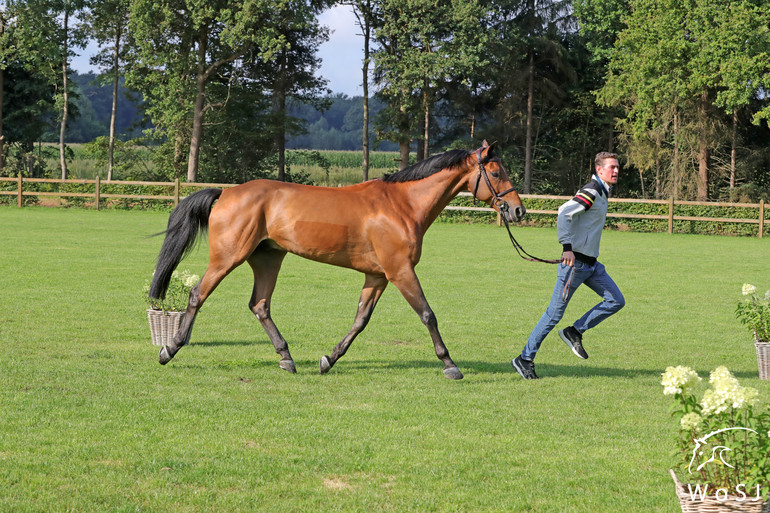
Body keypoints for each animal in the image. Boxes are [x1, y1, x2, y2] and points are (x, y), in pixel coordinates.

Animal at [147, 139, 524, 376]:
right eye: (497, 172)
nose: (517, 210)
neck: (401, 205)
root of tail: (226, 192)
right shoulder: (400, 271)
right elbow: (427, 314)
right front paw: (450, 365)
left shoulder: (377, 276)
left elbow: (360, 320)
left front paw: (328, 359)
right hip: (228, 258)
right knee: (197, 295)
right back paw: (169, 349)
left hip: (268, 259)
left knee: (260, 305)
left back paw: (287, 358)